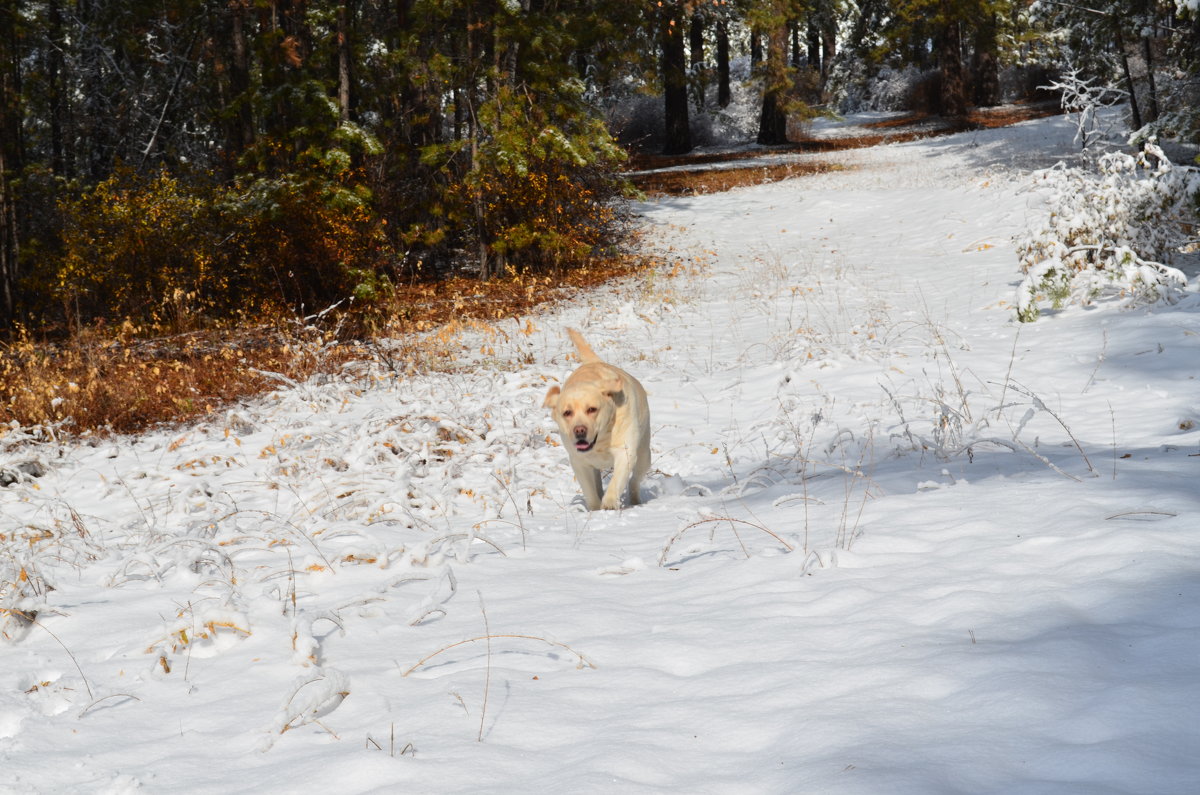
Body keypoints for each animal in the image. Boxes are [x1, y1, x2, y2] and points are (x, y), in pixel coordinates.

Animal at [547, 329, 652, 511]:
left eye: (592, 409)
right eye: (567, 412)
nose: (579, 430)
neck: (602, 440)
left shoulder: (625, 452)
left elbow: (616, 482)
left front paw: (609, 504)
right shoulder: (579, 462)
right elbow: (590, 492)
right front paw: (596, 509)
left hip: (644, 454)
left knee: (634, 481)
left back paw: (635, 500)